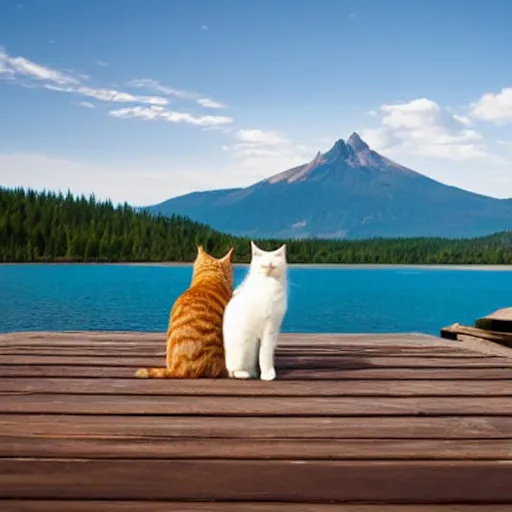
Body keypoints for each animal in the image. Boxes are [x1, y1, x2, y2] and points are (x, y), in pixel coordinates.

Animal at [223, 243, 290, 380]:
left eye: (274, 265)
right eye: (263, 265)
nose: (269, 266)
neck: (270, 284)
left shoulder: (274, 327)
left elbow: (266, 353)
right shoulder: (268, 325)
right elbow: (265, 353)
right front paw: (268, 374)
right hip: (243, 351)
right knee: (235, 371)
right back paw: (246, 374)